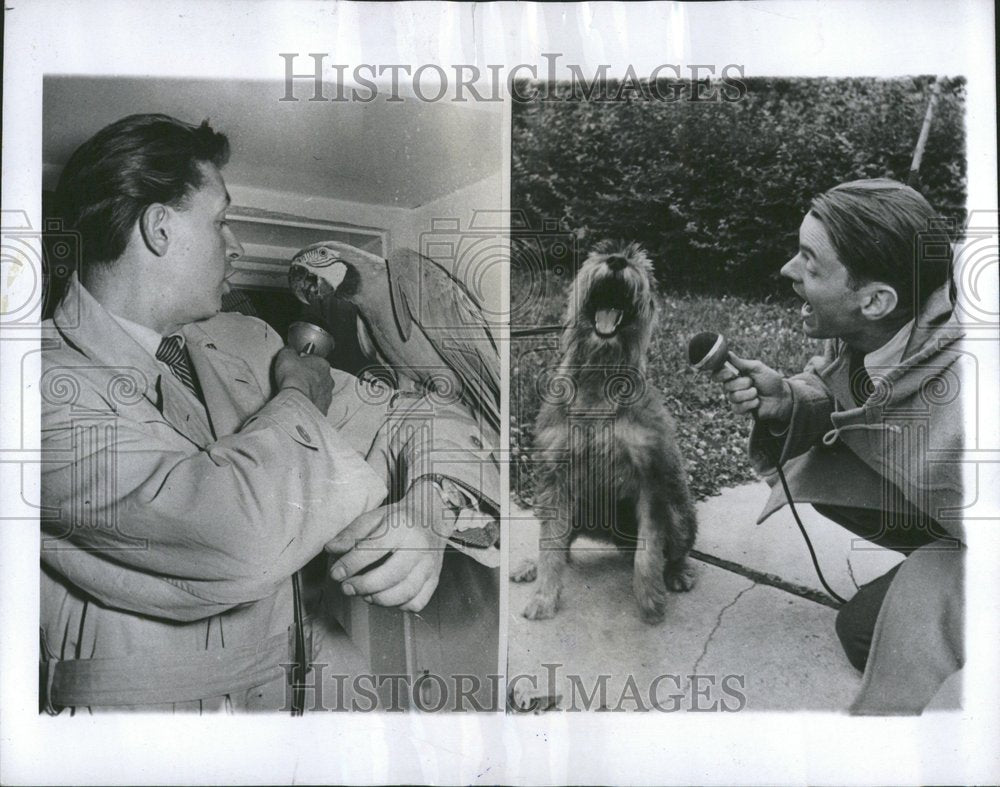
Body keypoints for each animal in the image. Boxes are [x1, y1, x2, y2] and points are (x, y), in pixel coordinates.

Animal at [516, 243, 696, 624]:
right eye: (600, 252)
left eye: (642, 262)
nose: (616, 261)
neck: (599, 376)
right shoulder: (554, 480)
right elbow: (550, 546)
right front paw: (544, 596)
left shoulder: (652, 481)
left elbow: (648, 552)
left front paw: (649, 599)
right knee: (562, 546)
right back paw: (531, 566)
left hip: (678, 509)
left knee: (674, 551)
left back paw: (676, 573)